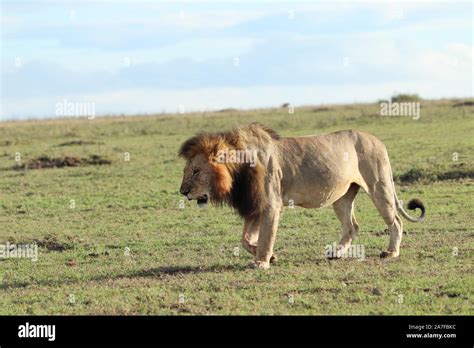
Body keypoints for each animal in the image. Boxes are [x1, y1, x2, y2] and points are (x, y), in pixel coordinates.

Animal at [178, 122, 426, 270]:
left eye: (196, 172)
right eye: (186, 171)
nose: (183, 191)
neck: (238, 170)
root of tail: (378, 140)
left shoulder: (271, 204)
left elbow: (266, 236)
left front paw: (262, 262)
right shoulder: (255, 205)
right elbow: (246, 239)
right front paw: (270, 257)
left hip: (378, 186)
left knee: (396, 221)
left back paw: (391, 252)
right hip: (342, 196)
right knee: (352, 226)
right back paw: (336, 253)